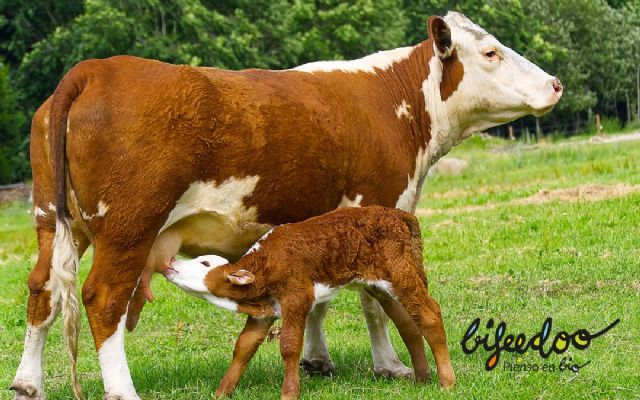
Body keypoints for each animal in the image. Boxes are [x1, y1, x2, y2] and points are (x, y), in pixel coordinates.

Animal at [165, 206, 456, 400]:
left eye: (204, 263)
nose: (171, 261)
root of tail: (396, 214)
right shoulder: (263, 313)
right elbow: (243, 347)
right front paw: (221, 392)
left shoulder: (297, 297)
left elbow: (289, 345)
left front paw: (289, 393)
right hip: (380, 285)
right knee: (408, 322)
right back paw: (422, 378)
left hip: (401, 273)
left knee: (430, 315)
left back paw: (447, 382)